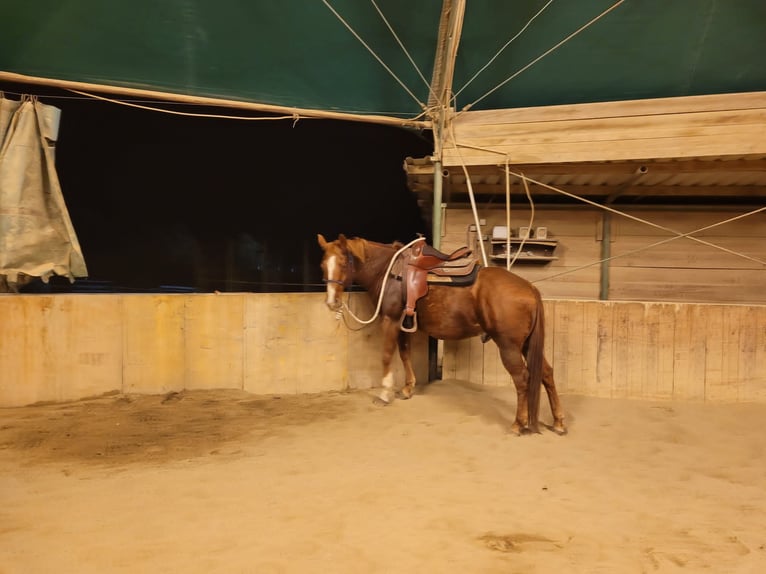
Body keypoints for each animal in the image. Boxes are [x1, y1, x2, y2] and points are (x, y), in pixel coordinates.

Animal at [320, 234, 568, 436]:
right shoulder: (403, 323)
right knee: (546, 373)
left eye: (343, 262)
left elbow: (387, 355)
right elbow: (405, 353)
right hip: (526, 344)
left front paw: (384, 394)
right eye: (323, 265)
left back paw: (518, 423)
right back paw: (558, 422)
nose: (332, 302)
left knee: (522, 379)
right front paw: (408, 388)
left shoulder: (390, 320)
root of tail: (530, 288)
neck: (389, 272)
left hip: (509, 346)